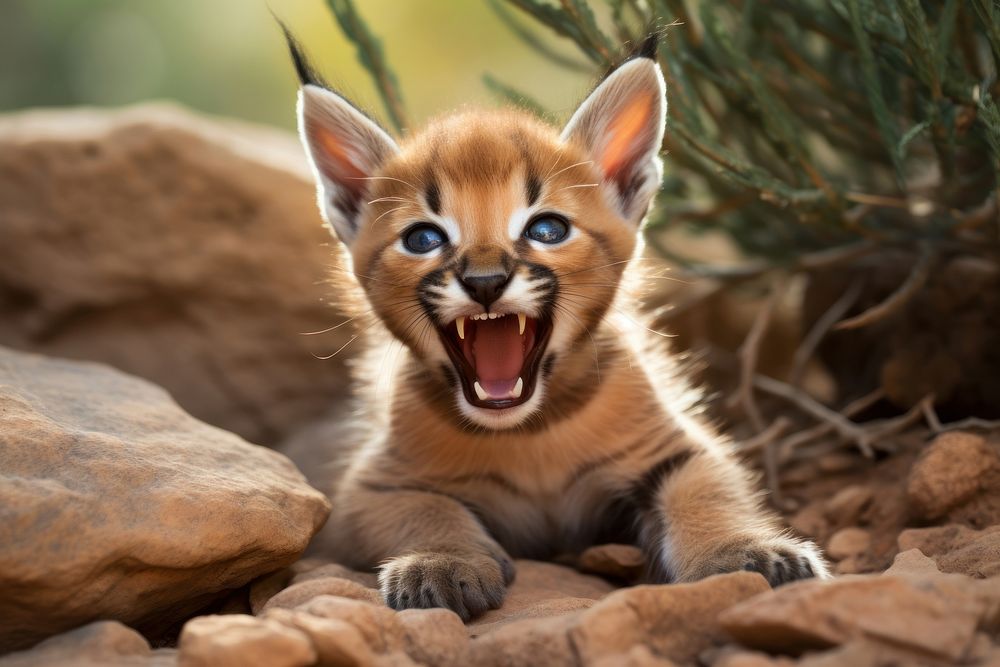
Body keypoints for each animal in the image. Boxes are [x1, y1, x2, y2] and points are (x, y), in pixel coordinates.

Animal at [282, 27, 828, 620]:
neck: (531, 432)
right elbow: (426, 510)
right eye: (423, 239)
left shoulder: (678, 451)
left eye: (547, 229)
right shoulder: (370, 486)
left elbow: (708, 495)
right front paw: (440, 562)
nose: (485, 281)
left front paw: (744, 552)